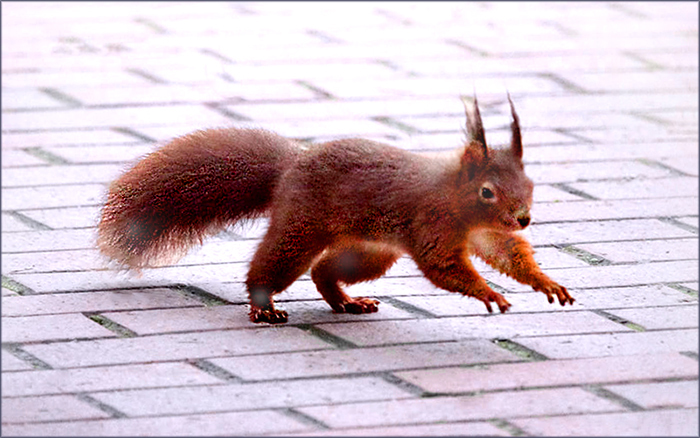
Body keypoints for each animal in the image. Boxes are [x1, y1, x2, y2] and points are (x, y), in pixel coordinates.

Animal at [98, 95, 574, 324]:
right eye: (487, 192)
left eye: (530, 184)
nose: (524, 218)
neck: (459, 206)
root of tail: (292, 164)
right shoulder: (432, 224)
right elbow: (445, 266)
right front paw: (488, 292)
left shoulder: (490, 235)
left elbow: (508, 255)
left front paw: (546, 282)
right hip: (300, 227)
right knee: (275, 267)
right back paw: (264, 306)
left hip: (371, 252)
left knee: (324, 271)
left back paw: (348, 302)